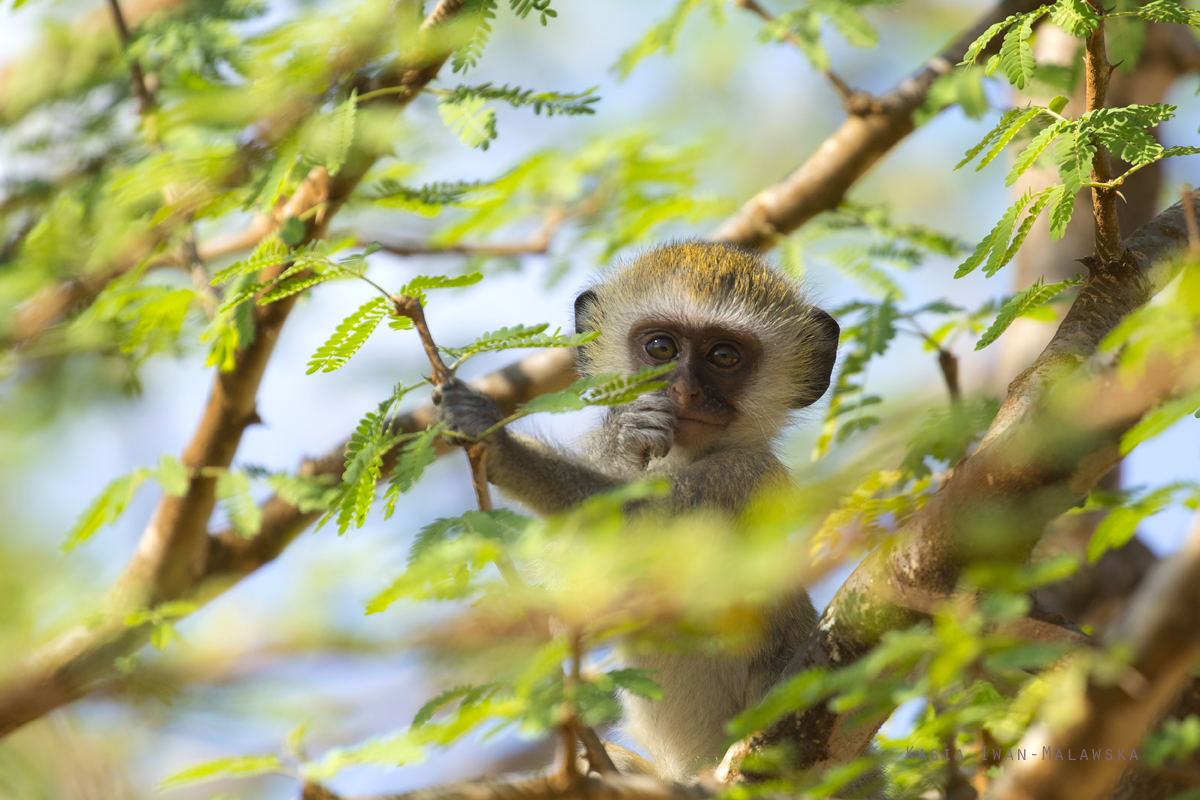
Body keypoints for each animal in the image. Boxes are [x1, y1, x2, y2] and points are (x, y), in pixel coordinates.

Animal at [436, 242, 840, 782]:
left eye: (724, 357)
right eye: (661, 349)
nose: (684, 393)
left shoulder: (744, 477)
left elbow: (643, 529)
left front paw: (499, 444)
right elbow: (576, 613)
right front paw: (627, 436)